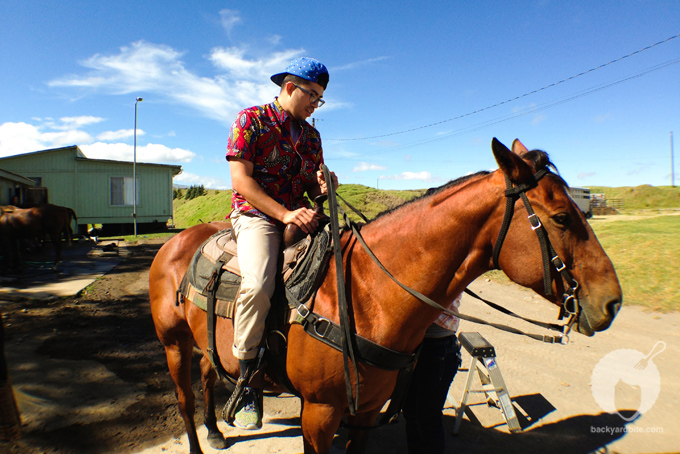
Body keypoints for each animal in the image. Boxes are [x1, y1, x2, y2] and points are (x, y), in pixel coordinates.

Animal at [147, 139, 620, 454]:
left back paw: (215, 429)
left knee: (210, 372)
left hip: (205, 341)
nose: (612, 302)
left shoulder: (366, 412)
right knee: (186, 399)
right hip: (174, 344)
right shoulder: (318, 414)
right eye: (561, 217)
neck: (366, 293)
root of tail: (177, 243)